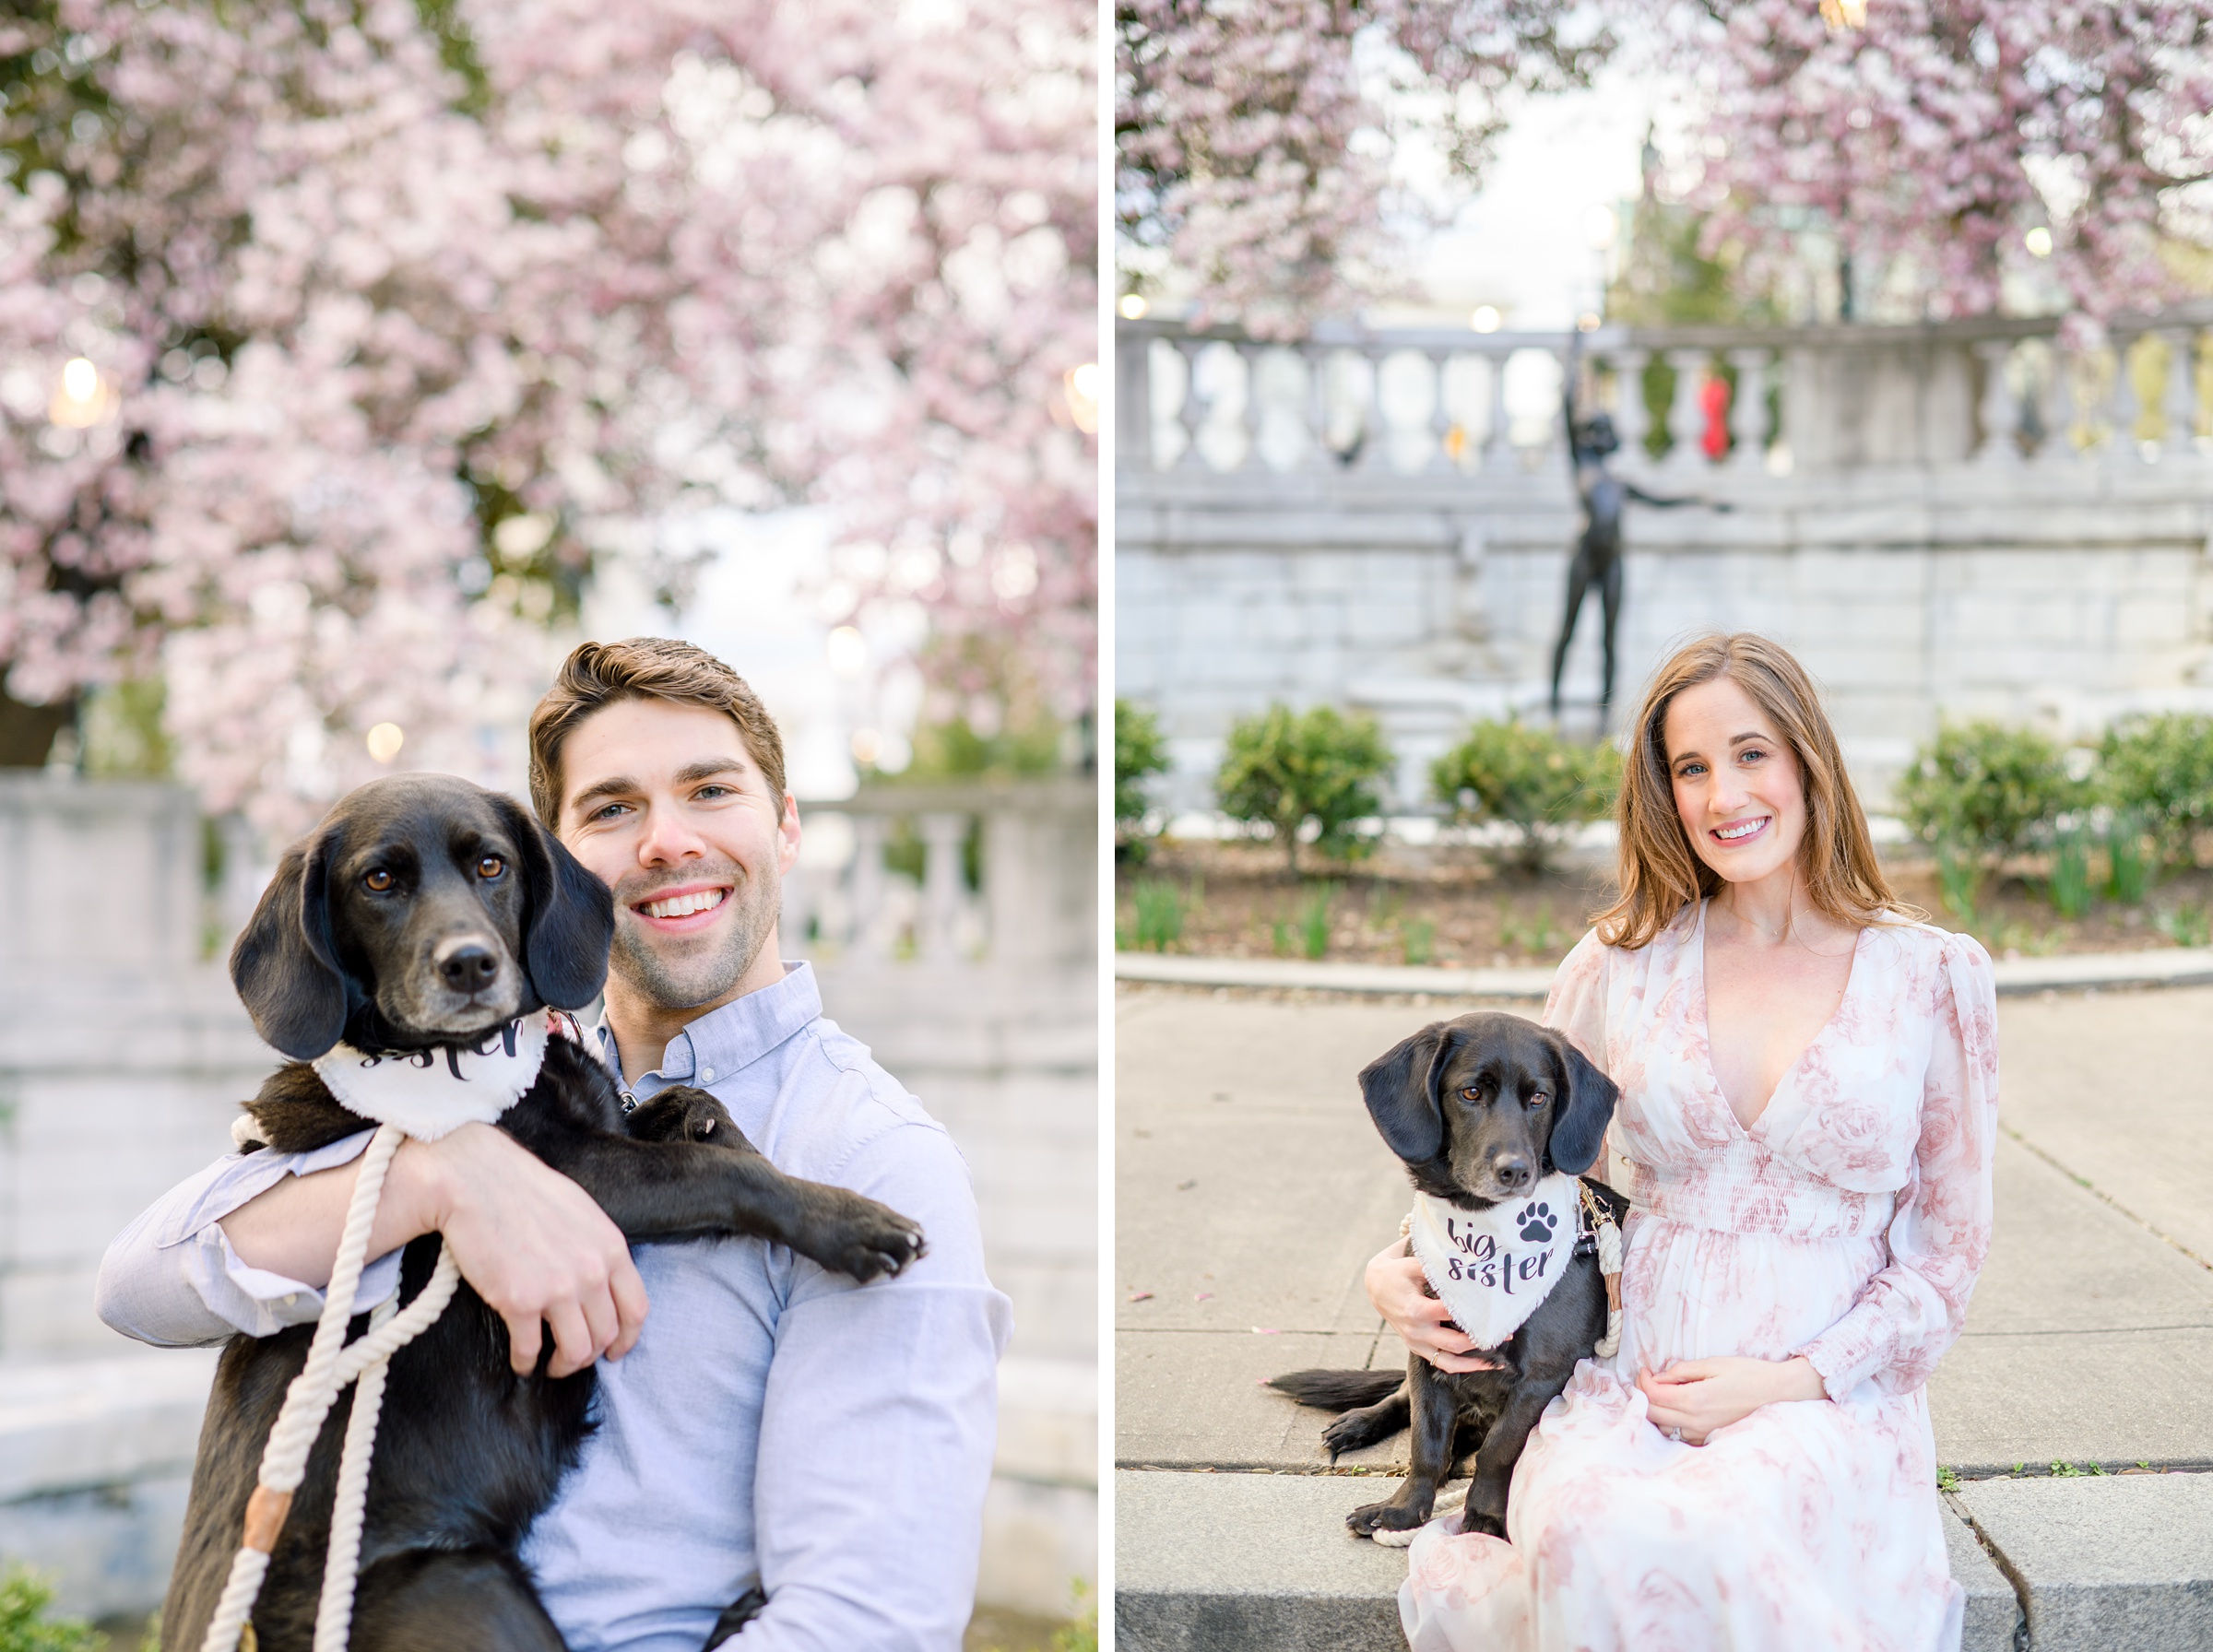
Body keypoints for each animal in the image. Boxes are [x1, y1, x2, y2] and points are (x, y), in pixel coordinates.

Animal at [1265, 1012, 1628, 1548]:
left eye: (1539, 1098)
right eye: (1470, 1092)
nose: (1515, 1171)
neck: (1486, 1231)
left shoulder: (1542, 1375)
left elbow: (1499, 1449)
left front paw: (1485, 1517)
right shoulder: (1427, 1353)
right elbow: (1426, 1444)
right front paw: (1401, 1510)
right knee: (1400, 1399)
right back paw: (1358, 1422)